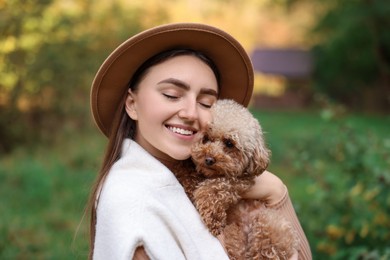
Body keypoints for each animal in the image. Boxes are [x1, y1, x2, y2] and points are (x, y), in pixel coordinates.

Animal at [173, 99, 298, 258]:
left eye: (229, 143)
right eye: (206, 138)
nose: (209, 159)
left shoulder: (238, 180)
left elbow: (214, 188)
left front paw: (213, 217)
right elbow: (187, 176)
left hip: (270, 223)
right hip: (234, 236)